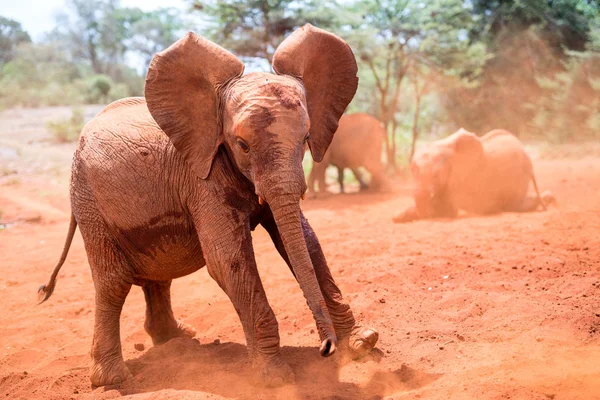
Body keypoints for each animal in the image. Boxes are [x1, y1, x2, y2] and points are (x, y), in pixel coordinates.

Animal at [37, 25, 378, 388]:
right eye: (242, 145)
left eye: (304, 140)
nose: (326, 348)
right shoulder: (201, 177)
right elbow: (227, 259)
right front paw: (274, 377)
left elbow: (304, 242)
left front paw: (362, 342)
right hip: (87, 195)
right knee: (113, 280)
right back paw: (113, 379)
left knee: (157, 274)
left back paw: (177, 340)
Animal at [394, 128, 552, 222]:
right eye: (413, 170)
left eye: (437, 175)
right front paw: (398, 217)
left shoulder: (458, 178)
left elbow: (446, 210)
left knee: (514, 205)